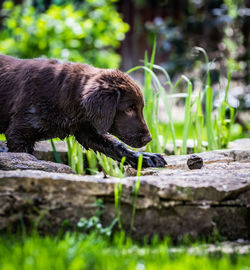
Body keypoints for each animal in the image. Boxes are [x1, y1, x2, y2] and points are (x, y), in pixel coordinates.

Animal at [0, 54, 166, 168]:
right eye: (130, 109)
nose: (148, 139)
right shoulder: (18, 135)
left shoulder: (87, 129)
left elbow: (117, 146)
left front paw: (144, 157)